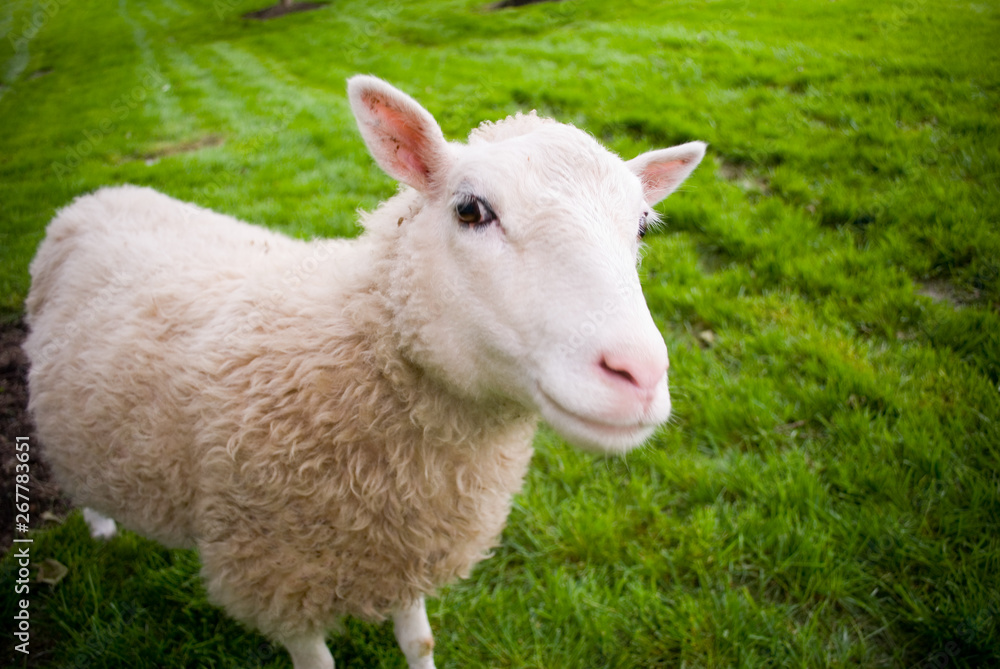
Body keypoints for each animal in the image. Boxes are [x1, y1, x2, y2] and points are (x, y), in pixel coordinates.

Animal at [24, 75, 705, 669]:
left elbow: (419, 642)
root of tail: (98, 196)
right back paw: (102, 528)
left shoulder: (402, 542)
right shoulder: (275, 574)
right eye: (470, 210)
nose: (640, 374)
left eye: (642, 226)